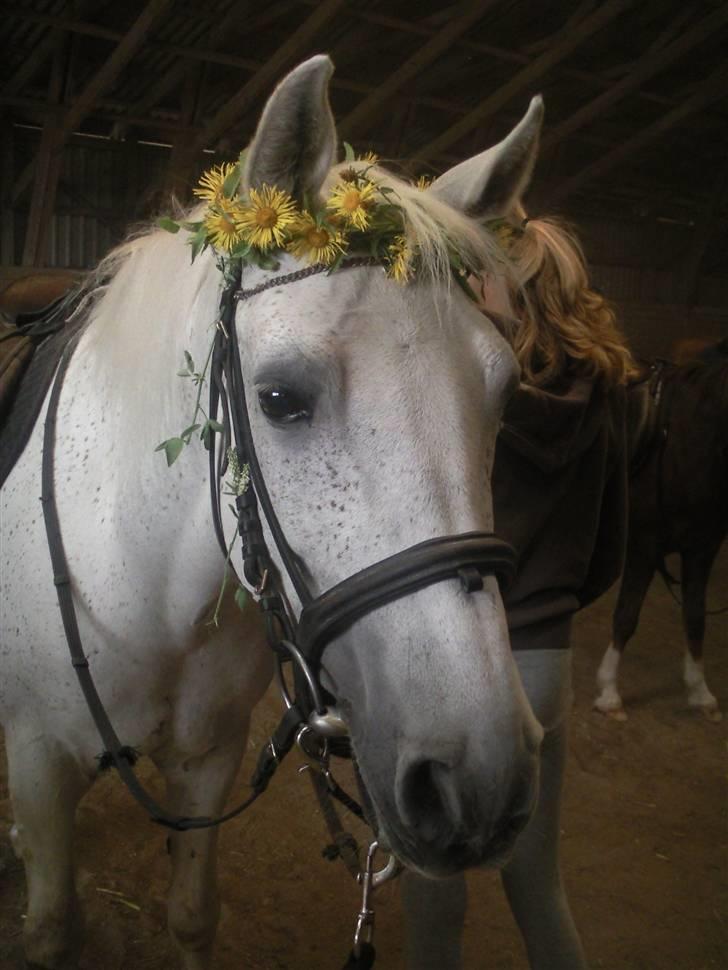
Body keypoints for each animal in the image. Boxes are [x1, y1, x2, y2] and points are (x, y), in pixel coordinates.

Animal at [0, 56, 557, 969]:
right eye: (279, 398)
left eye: (505, 393)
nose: (476, 782)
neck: (144, 588)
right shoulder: (42, 761)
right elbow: (50, 930)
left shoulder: (208, 758)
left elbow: (193, 913)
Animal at [594, 347, 728, 722]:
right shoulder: (644, 546)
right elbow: (626, 615)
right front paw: (609, 693)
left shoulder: (702, 548)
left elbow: (695, 616)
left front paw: (700, 692)